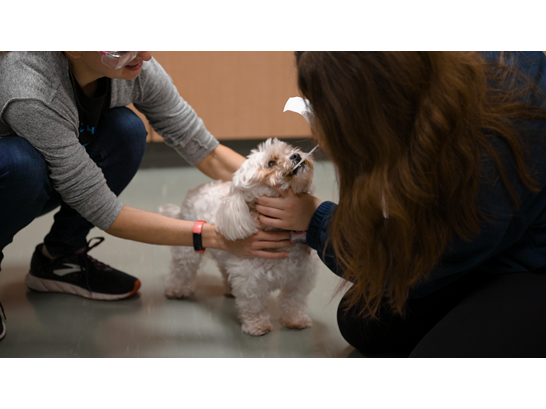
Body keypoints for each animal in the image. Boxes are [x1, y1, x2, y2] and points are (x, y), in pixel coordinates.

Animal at [159, 139, 316, 336]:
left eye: (288, 150)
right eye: (270, 163)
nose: (296, 155)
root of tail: (196, 189)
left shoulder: (301, 278)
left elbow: (294, 302)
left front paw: (295, 321)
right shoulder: (250, 283)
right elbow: (254, 306)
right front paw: (258, 326)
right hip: (187, 252)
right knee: (181, 270)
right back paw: (176, 289)